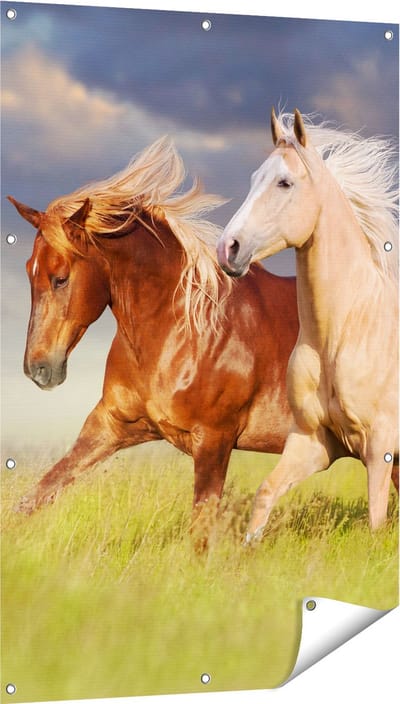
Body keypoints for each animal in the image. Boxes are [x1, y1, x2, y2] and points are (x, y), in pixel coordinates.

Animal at [8, 136, 298, 527]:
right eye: (29, 270)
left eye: (61, 278)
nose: (38, 369)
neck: (179, 334)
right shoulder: (110, 425)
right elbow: (35, 496)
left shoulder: (214, 441)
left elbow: (201, 528)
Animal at [217, 109, 399, 540]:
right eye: (254, 178)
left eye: (285, 182)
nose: (227, 249)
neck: (343, 333)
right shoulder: (313, 441)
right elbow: (265, 493)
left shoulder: (380, 447)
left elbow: (376, 521)